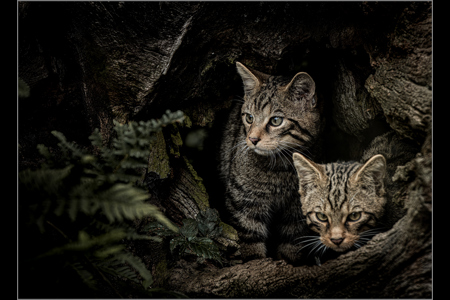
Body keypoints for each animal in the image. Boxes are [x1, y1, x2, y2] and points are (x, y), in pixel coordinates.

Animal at [219, 62, 322, 264]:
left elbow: (292, 241)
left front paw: (291, 261)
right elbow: (250, 239)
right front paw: (255, 261)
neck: (280, 167)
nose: (252, 139)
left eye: (276, 121)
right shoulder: (243, 201)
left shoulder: (297, 209)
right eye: (249, 118)